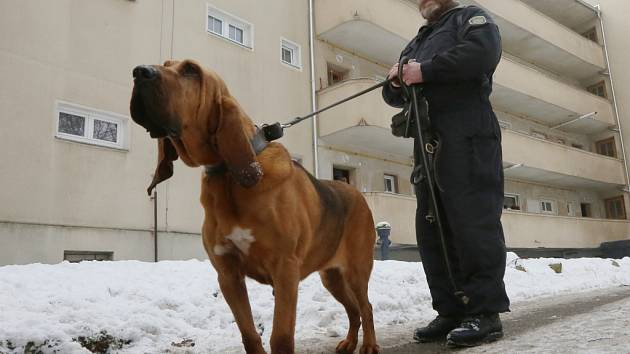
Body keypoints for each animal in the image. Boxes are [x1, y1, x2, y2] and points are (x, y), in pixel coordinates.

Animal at [130, 59, 380, 352]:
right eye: (166, 64)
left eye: (191, 70)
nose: (139, 72)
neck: (228, 175)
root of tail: (358, 193)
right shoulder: (228, 275)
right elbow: (249, 334)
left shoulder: (285, 270)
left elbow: (280, 337)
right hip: (331, 276)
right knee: (353, 310)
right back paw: (350, 342)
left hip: (356, 271)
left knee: (366, 306)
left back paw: (369, 345)